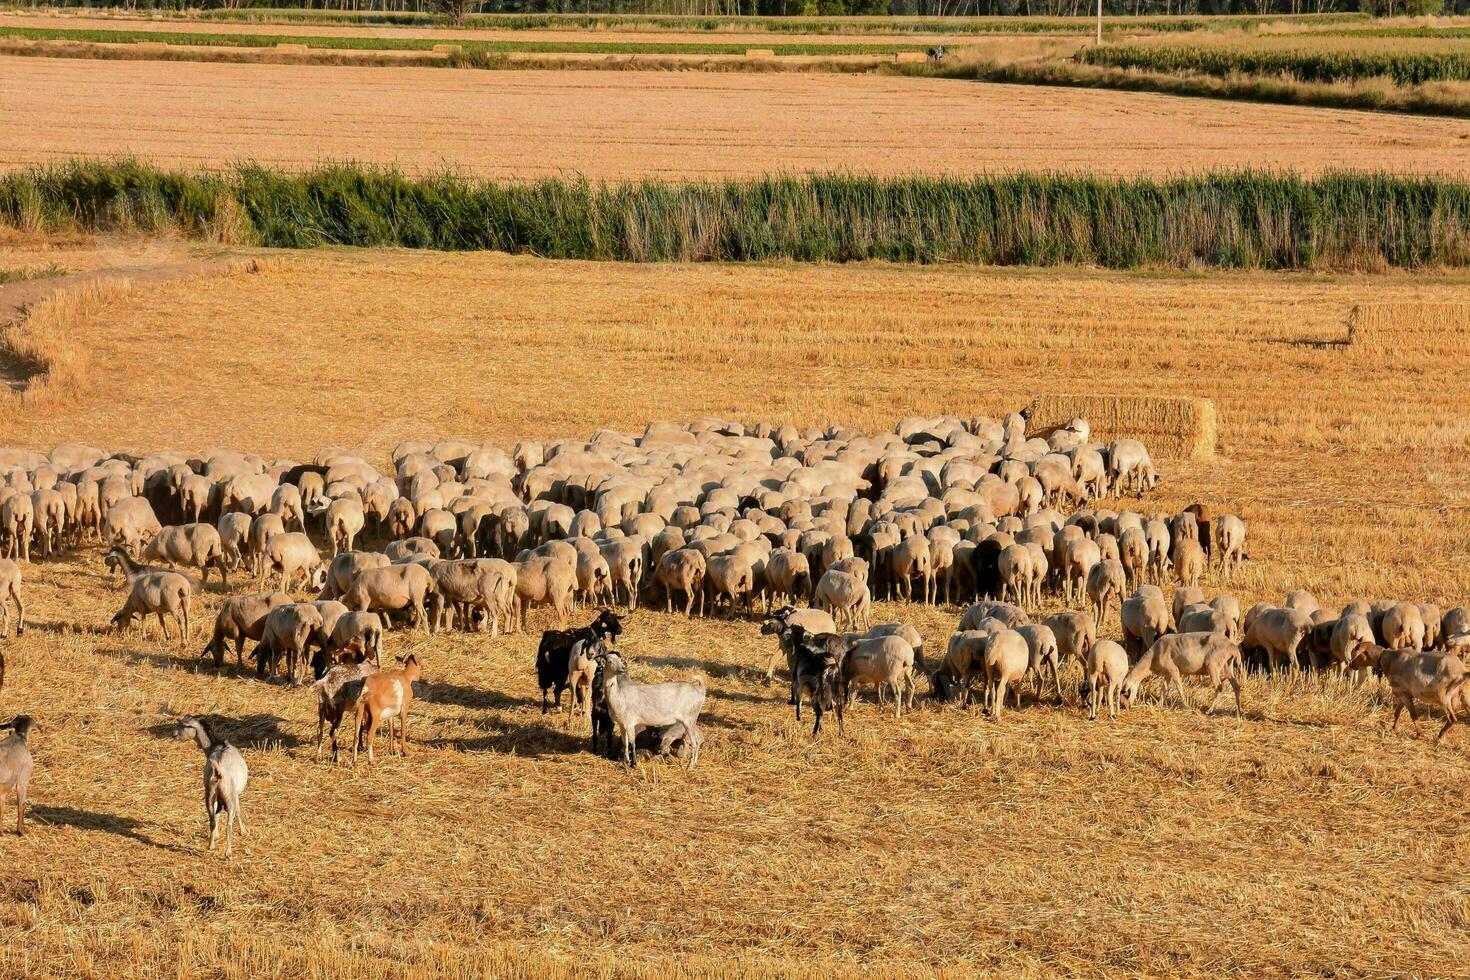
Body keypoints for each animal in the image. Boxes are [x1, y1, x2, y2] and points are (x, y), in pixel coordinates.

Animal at [174, 717, 249, 852]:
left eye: (183, 726)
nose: (174, 735)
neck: (216, 745)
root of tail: (218, 773)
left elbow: (217, 815)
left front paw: (216, 836)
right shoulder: (235, 795)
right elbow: (238, 811)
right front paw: (244, 831)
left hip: (209, 794)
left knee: (212, 819)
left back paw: (211, 845)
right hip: (229, 797)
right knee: (229, 822)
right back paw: (228, 852)